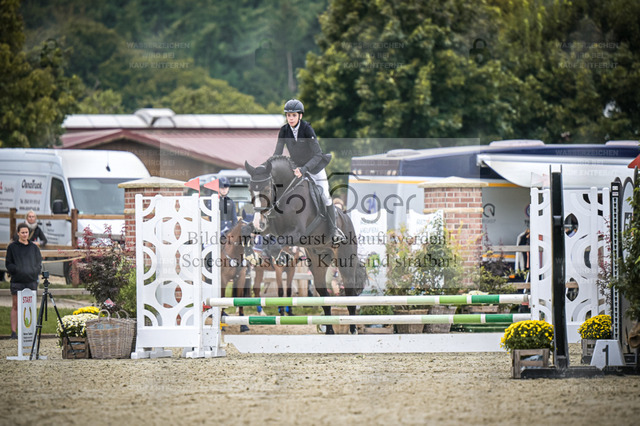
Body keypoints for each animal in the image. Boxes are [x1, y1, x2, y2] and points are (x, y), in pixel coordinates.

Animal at [245, 155, 366, 334]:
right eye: (250, 190)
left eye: (266, 189)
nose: (258, 222)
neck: (285, 193)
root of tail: (346, 218)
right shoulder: (270, 229)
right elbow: (256, 234)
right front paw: (255, 253)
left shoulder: (297, 232)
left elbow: (275, 246)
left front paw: (280, 256)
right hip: (318, 262)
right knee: (324, 296)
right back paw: (329, 331)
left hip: (345, 262)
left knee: (350, 296)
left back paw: (352, 330)